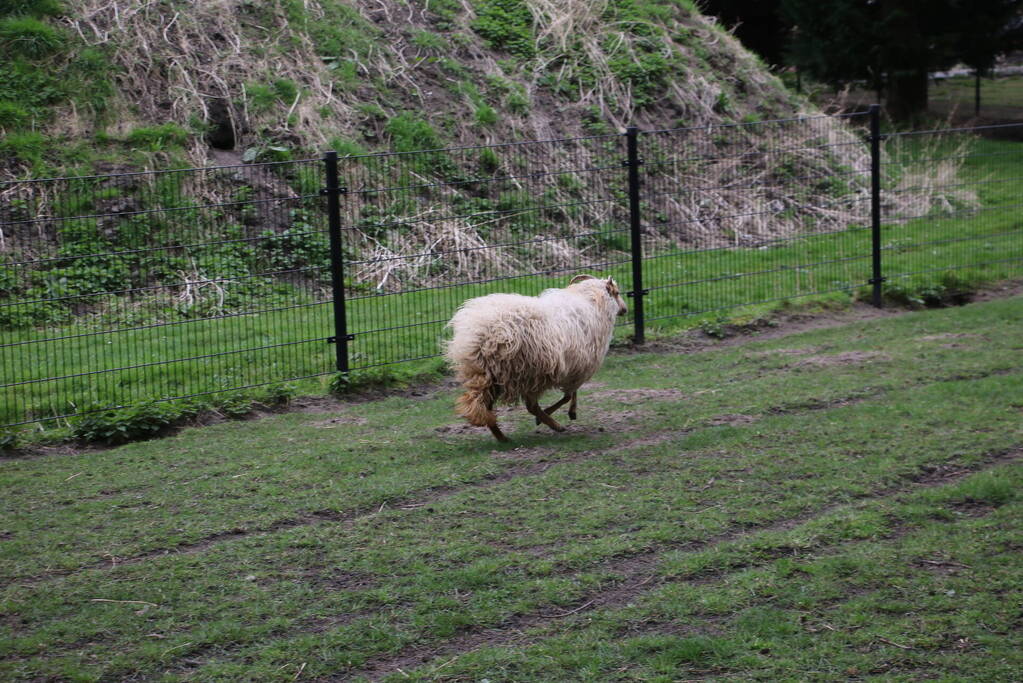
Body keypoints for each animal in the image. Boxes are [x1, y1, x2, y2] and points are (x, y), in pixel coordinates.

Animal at [443, 274, 626, 443]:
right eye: (616, 293)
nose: (625, 309)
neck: (592, 300)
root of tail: (483, 333)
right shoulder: (580, 367)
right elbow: (569, 395)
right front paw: (569, 412)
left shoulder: (575, 366)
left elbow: (570, 394)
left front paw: (570, 412)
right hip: (527, 372)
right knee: (530, 406)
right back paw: (553, 425)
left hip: (487, 374)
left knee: (482, 404)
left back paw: (502, 436)